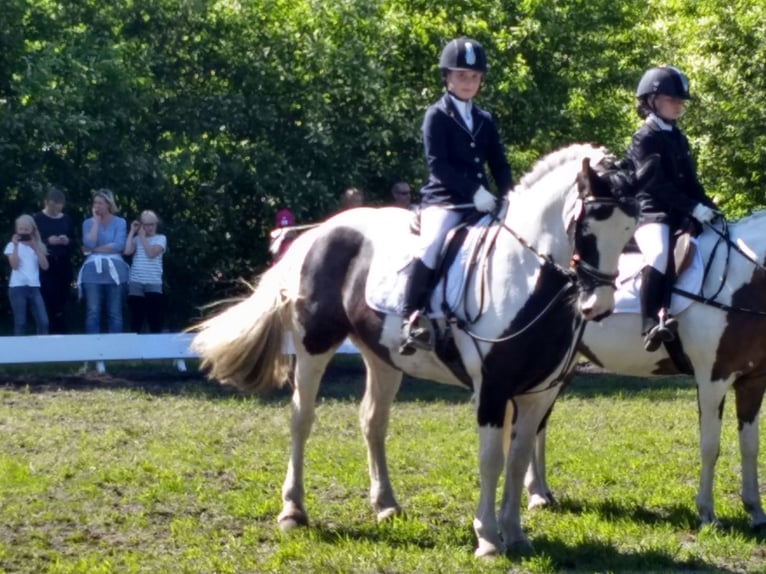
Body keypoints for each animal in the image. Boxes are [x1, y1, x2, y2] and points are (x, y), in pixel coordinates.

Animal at [194, 144, 640, 560]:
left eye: (629, 230)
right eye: (588, 225)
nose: (597, 305)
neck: (526, 275)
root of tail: (321, 232)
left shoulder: (539, 393)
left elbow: (516, 459)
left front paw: (515, 535)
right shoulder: (492, 388)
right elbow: (491, 460)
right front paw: (487, 539)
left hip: (383, 358)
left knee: (372, 421)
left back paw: (386, 505)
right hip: (313, 344)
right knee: (301, 418)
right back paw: (293, 511)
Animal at [528, 213, 766, 536]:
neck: (740, 282)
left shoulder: (753, 382)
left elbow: (750, 446)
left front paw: (756, 512)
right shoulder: (712, 380)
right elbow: (710, 446)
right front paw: (707, 513)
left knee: (539, 422)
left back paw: (543, 493)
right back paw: (536, 496)